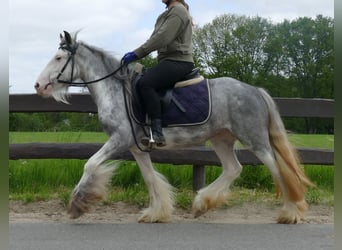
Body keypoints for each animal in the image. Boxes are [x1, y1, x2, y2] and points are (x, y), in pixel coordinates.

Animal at [35, 30, 316, 224]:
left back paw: (291, 213)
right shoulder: (136, 147)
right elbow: (150, 178)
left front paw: (78, 204)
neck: (116, 90)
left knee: (278, 170)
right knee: (233, 168)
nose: (38, 85)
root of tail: (255, 90)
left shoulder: (119, 139)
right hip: (221, 138)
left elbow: (91, 164)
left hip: (255, 139)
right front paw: (156, 213)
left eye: (58, 57)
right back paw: (202, 203)